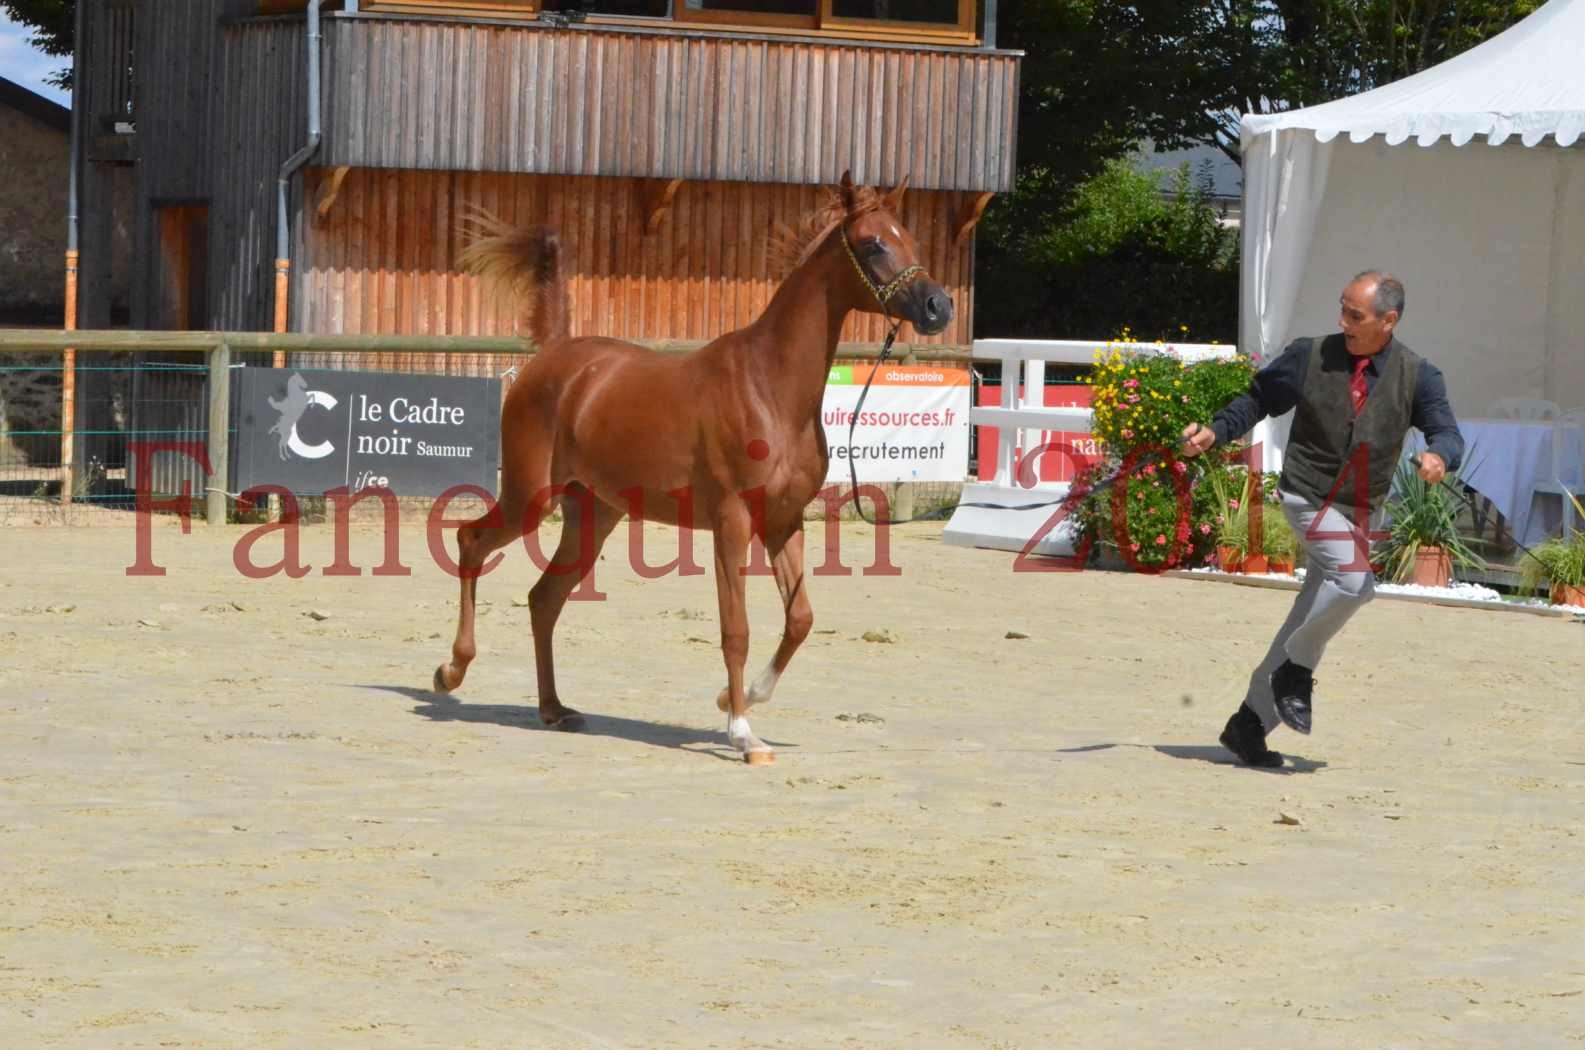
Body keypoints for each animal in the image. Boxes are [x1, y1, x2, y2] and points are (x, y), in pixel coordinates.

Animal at [434, 170, 951, 764]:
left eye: (910, 239)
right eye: (873, 244)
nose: (938, 306)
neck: (770, 388)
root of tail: (555, 357)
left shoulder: (783, 521)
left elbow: (800, 620)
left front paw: (736, 698)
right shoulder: (732, 522)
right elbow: (736, 629)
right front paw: (743, 732)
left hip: (593, 515)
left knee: (544, 598)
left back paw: (554, 709)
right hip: (529, 496)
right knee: (471, 542)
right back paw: (451, 671)